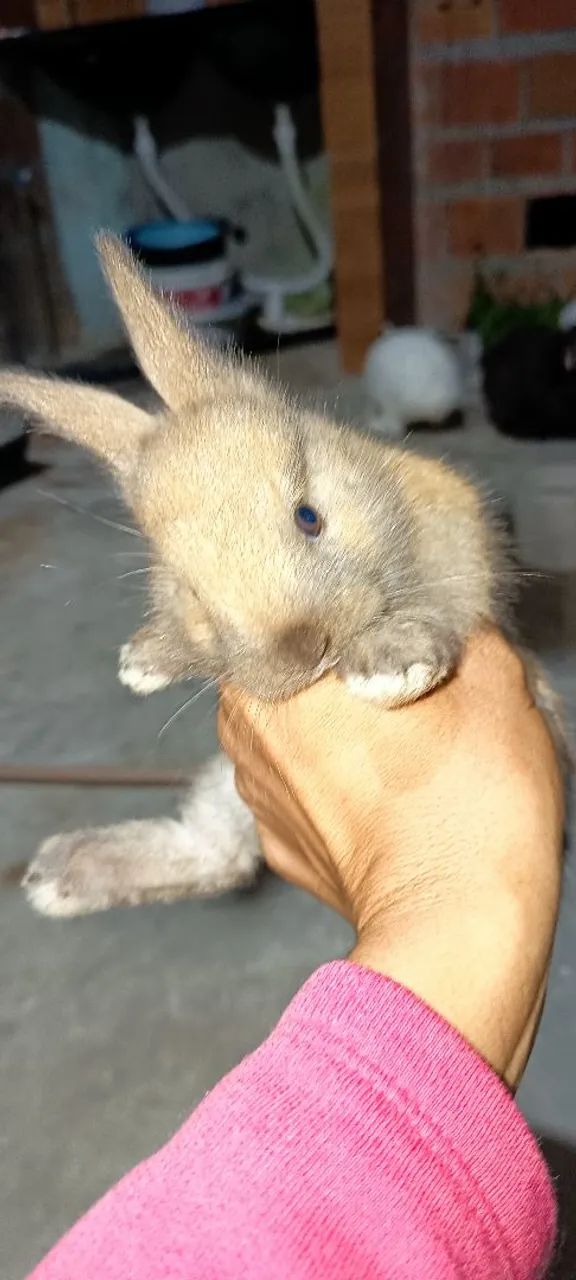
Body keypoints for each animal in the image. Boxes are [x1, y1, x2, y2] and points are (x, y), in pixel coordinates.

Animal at [0, 235, 566, 918]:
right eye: (188, 588)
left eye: (308, 516)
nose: (300, 652)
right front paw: (147, 658)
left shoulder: (459, 544)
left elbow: (443, 599)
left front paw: (391, 665)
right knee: (220, 854)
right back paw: (59, 874)